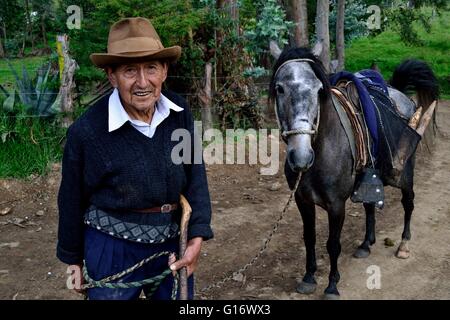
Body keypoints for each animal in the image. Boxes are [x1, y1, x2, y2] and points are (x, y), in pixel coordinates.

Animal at [268, 41, 438, 298]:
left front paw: (332, 285)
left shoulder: (336, 205)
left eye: (319, 90)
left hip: (405, 173)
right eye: (279, 89)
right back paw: (366, 244)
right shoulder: (301, 200)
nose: (301, 156)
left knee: (408, 203)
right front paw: (308, 277)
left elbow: (333, 244)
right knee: (369, 206)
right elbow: (309, 237)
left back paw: (403, 245)